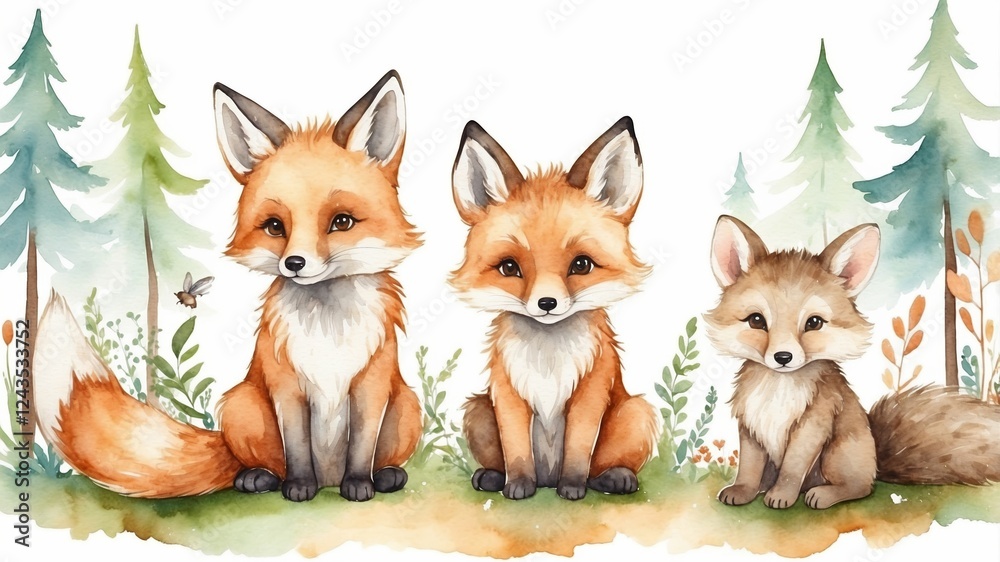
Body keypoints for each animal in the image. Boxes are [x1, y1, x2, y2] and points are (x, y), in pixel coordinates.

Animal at [34, 70, 423, 502]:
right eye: (275, 226)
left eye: (341, 222)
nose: (295, 264)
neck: (328, 331)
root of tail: (329, 478)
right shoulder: (285, 385)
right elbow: (297, 447)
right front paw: (298, 486)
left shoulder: (371, 385)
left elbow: (362, 446)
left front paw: (359, 484)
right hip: (243, 404)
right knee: (260, 463)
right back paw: (261, 478)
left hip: (408, 406)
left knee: (381, 455)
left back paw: (385, 476)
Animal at [450, 117, 661, 501]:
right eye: (509, 267)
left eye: (581, 264)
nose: (546, 303)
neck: (548, 359)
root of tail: (547, 476)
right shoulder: (507, 393)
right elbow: (516, 449)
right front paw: (518, 486)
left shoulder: (590, 391)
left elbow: (578, 450)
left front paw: (572, 487)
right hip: (477, 410)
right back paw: (493, 476)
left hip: (636, 413)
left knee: (605, 466)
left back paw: (612, 478)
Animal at [705, 215, 1000, 509]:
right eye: (756, 320)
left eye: (814, 323)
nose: (783, 357)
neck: (779, 389)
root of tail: (877, 462)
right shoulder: (750, 424)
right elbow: (749, 467)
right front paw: (742, 490)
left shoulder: (814, 424)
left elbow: (792, 467)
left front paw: (782, 495)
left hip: (838, 452)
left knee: (860, 487)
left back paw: (822, 494)